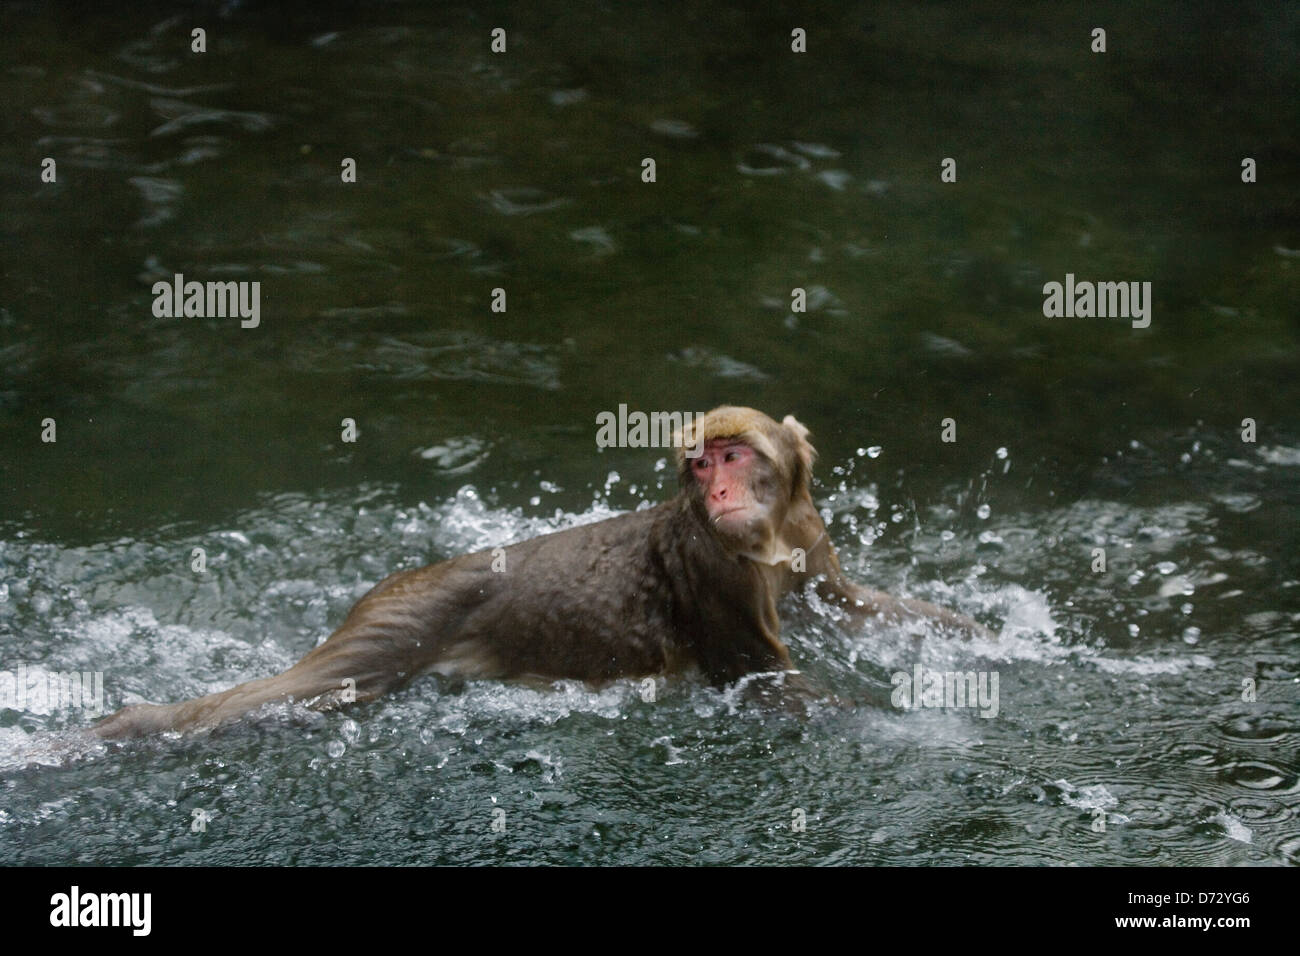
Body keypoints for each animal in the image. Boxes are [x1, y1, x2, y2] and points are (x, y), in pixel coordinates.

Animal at [96, 405, 987, 738]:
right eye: (699, 465)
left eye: (735, 456)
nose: (720, 490)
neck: (762, 539)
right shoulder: (714, 572)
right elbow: (764, 681)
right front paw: (900, 726)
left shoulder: (804, 529)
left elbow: (846, 603)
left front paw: (975, 634)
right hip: (397, 620)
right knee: (300, 689)